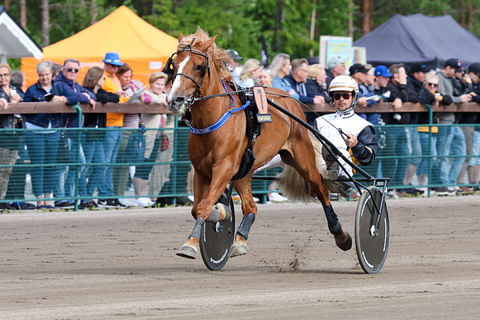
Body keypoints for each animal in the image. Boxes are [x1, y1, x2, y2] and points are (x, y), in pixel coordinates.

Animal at [167, 28, 350, 260]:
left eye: (199, 66)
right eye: (174, 65)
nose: (175, 99)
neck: (213, 121)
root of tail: (290, 99)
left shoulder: (224, 167)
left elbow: (204, 206)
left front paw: (191, 243)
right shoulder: (201, 171)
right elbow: (197, 207)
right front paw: (219, 215)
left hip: (302, 158)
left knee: (322, 191)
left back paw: (341, 235)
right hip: (244, 172)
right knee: (251, 207)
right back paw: (239, 240)